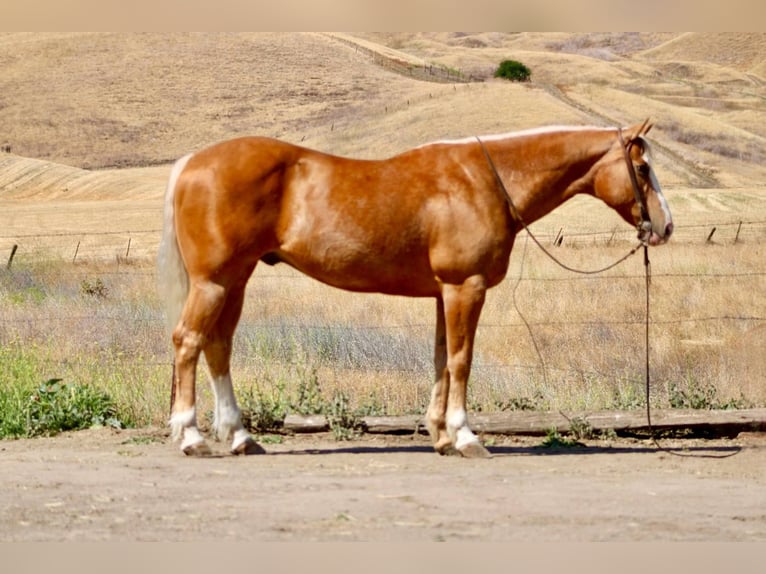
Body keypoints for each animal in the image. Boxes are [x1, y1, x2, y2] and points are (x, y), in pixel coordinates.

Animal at [157, 120, 673, 458]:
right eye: (642, 169)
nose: (665, 226)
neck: (484, 181)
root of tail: (192, 163)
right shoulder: (466, 288)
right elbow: (462, 361)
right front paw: (465, 437)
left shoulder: (445, 293)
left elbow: (442, 359)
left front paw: (441, 435)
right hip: (214, 282)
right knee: (187, 342)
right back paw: (192, 437)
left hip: (235, 280)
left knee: (218, 348)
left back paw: (240, 437)